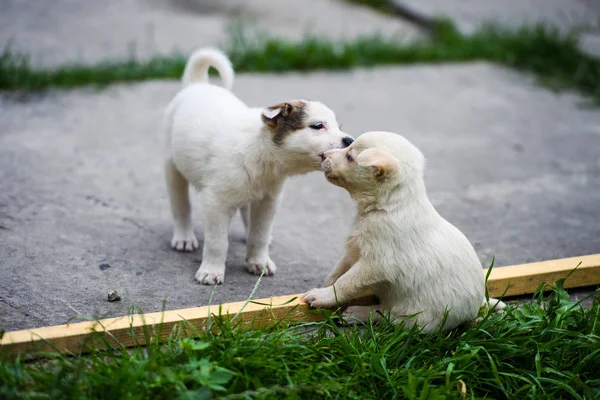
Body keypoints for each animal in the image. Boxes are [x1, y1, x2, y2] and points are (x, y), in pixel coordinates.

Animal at [164, 47, 354, 284]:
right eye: (318, 126)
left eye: (339, 127)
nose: (350, 140)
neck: (261, 151)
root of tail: (198, 85)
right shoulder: (217, 203)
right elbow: (218, 241)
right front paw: (211, 271)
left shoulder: (268, 201)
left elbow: (259, 235)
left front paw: (258, 262)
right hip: (173, 168)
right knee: (180, 206)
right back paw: (184, 237)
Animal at [302, 131, 504, 332]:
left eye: (350, 157)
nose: (323, 155)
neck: (387, 206)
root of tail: (475, 308)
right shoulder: (355, 249)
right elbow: (337, 272)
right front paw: (323, 287)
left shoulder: (376, 263)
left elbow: (346, 281)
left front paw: (323, 296)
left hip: (417, 318)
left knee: (384, 314)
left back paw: (357, 313)